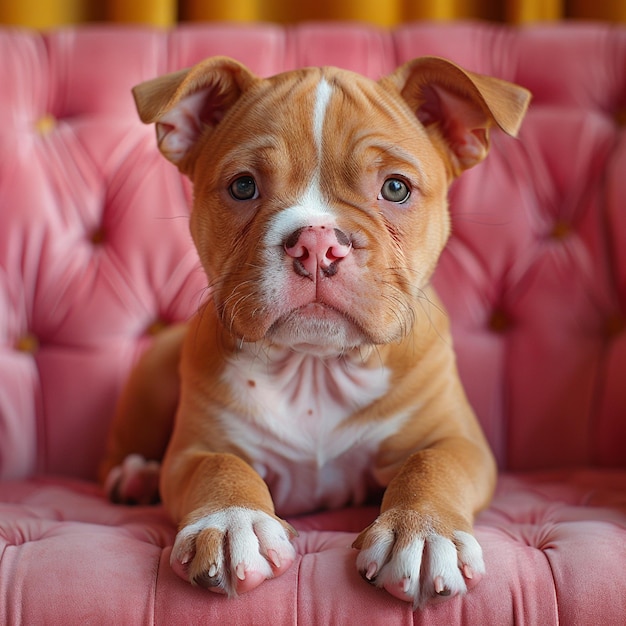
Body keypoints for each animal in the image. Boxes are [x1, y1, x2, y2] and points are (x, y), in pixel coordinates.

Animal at [100, 57, 528, 604]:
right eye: (243, 186)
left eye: (395, 188)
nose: (318, 243)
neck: (314, 366)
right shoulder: (196, 449)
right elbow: (220, 467)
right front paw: (233, 521)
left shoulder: (458, 439)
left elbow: (433, 464)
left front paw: (423, 532)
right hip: (152, 377)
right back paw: (135, 476)